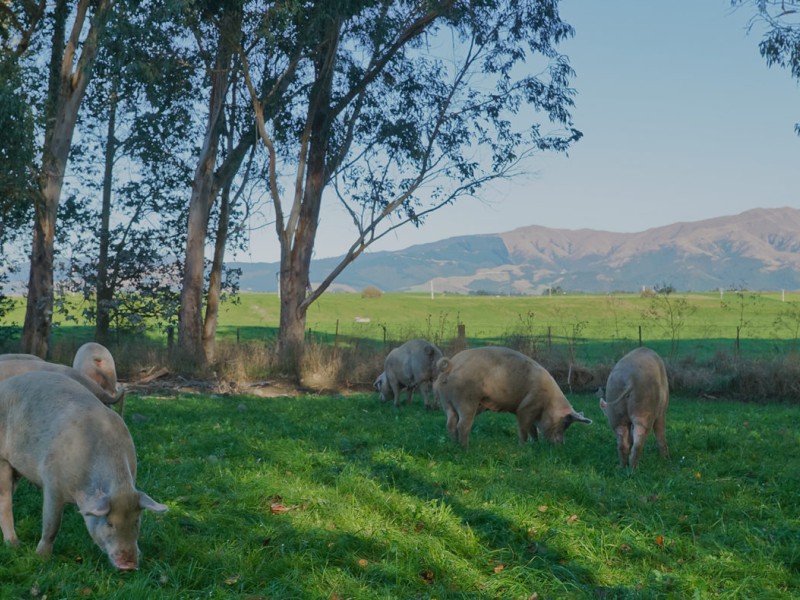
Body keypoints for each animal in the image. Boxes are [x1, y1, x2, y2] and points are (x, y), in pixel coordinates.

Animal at [0, 372, 167, 568]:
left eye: (136, 522)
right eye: (109, 523)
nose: (129, 565)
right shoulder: (52, 484)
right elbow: (52, 524)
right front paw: (41, 558)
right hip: (3, 460)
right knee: (5, 500)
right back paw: (14, 544)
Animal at [432, 344, 592, 448]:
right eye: (565, 424)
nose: (561, 445)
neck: (548, 403)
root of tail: (450, 365)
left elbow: (533, 430)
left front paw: (535, 444)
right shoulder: (525, 409)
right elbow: (524, 430)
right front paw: (523, 448)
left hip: (446, 402)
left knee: (450, 423)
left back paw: (454, 445)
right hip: (466, 401)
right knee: (462, 425)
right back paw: (466, 449)